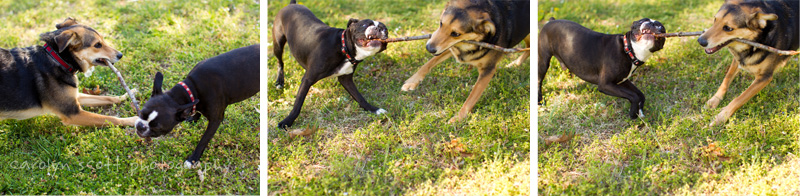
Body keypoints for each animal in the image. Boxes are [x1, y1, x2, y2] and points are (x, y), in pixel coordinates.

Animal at [0, 17, 136, 126]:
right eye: (97, 45)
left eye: (103, 40)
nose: (120, 55)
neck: (58, 59)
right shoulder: (73, 113)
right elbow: (111, 119)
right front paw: (133, 120)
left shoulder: (74, 96)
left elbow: (109, 98)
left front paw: (127, 95)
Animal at [274, 0, 390, 128]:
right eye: (365, 25)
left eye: (385, 29)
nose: (378, 28)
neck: (343, 48)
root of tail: (292, 4)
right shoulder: (307, 79)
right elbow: (297, 104)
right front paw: (287, 121)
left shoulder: (346, 79)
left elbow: (359, 97)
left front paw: (373, 109)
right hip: (278, 44)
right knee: (280, 62)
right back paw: (279, 82)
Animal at [400, 0, 532, 122]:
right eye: (441, 23)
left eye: (455, 33)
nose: (429, 48)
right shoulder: (452, 47)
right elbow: (428, 63)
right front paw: (413, 81)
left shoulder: (488, 70)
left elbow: (471, 98)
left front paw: (459, 118)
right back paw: (516, 63)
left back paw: (516, 63)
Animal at [536, 18, 668, 118]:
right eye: (642, 21)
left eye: (660, 27)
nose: (652, 23)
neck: (628, 50)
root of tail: (551, 21)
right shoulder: (606, 85)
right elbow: (634, 96)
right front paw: (632, 114)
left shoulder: (622, 81)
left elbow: (640, 94)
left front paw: (640, 111)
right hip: (543, 62)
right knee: (539, 81)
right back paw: (540, 101)